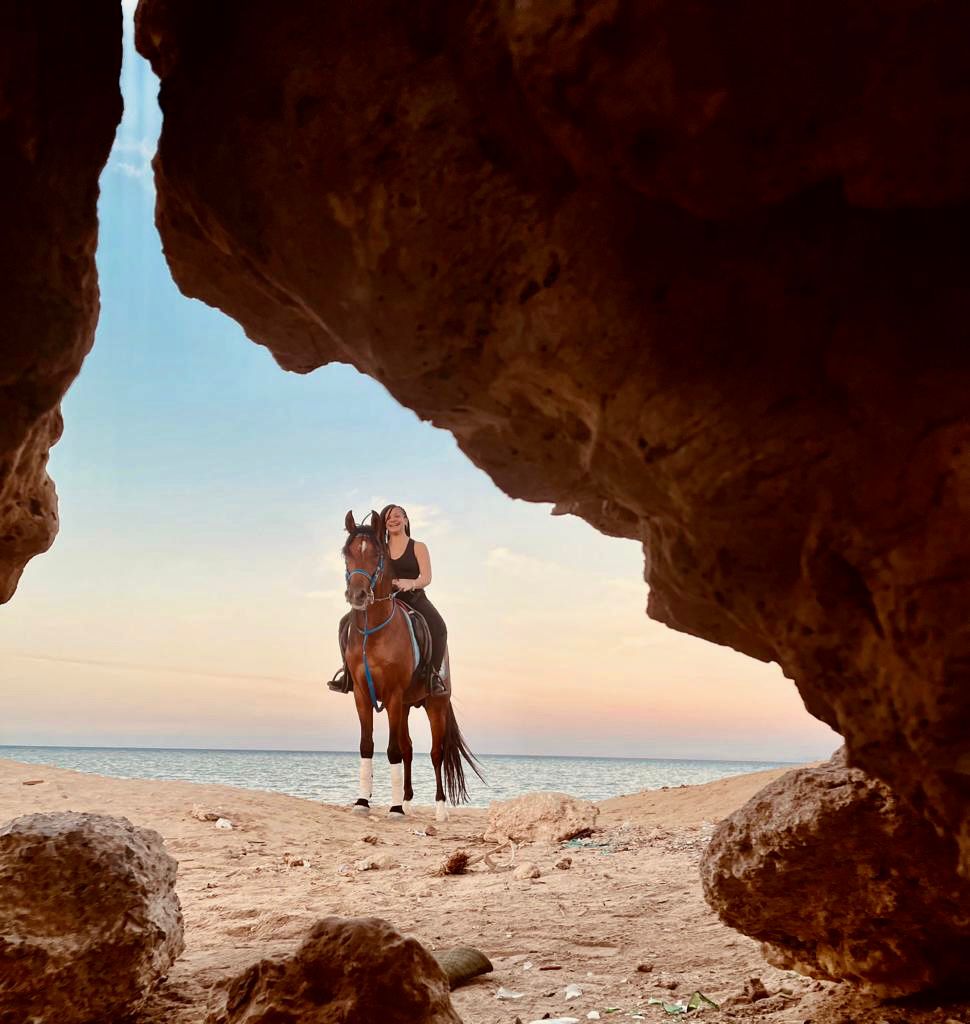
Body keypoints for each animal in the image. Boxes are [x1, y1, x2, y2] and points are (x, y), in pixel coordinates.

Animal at [340, 507, 483, 819]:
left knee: (435, 753)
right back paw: (406, 801)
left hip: (434, 704)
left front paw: (393, 809)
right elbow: (367, 745)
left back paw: (439, 809)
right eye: (346, 553)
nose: (357, 595)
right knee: (408, 749)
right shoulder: (362, 694)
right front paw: (363, 802)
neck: (374, 630)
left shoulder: (393, 695)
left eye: (377, 555)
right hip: (406, 705)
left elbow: (392, 750)